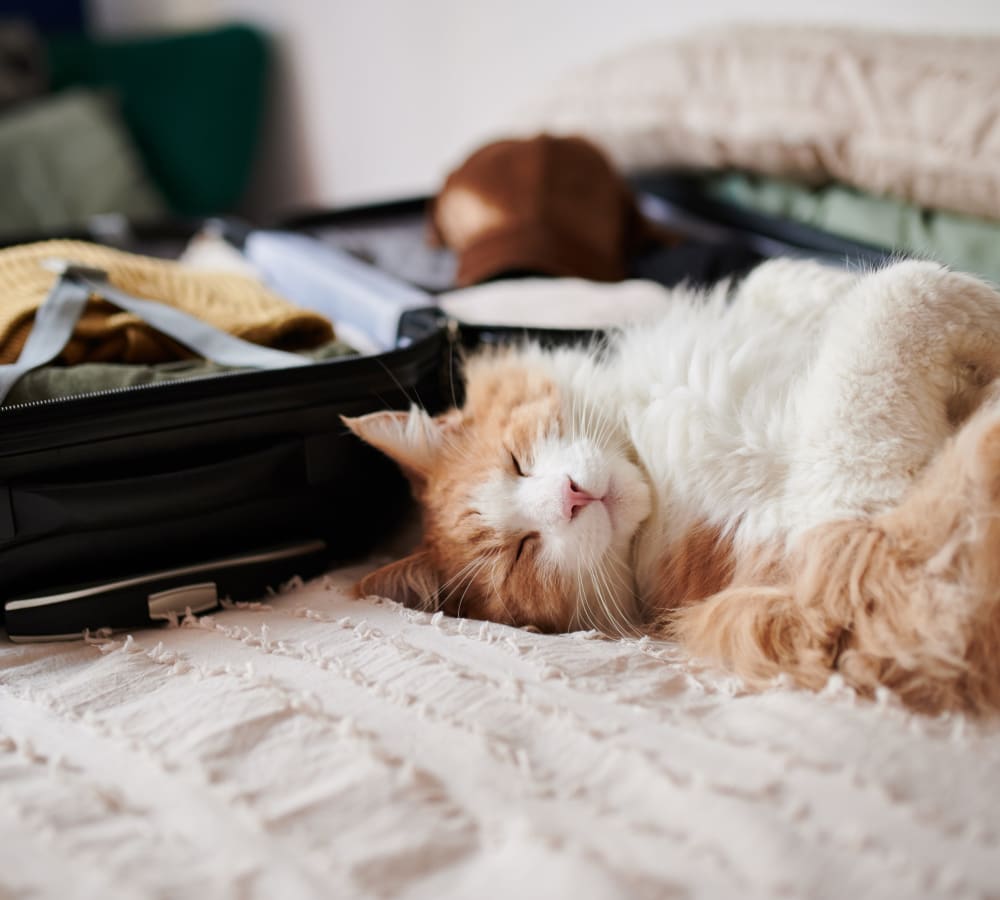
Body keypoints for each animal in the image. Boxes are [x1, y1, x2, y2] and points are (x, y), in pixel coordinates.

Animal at [346, 260, 1000, 716]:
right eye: (519, 554)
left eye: (516, 462)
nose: (573, 496)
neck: (651, 464)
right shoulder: (850, 558)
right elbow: (895, 297)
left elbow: (789, 277)